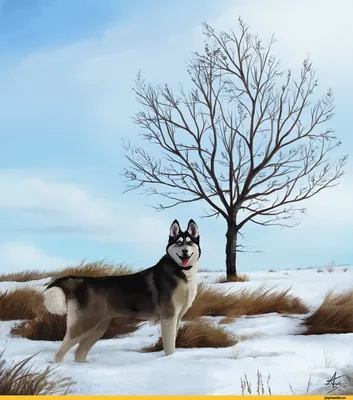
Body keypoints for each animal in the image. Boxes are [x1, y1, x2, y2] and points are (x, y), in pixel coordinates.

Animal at [42, 219, 199, 362]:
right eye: (178, 243)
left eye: (189, 243)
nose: (185, 251)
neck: (180, 271)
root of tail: (80, 281)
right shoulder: (168, 318)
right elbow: (169, 348)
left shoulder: (177, 318)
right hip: (86, 323)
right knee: (59, 353)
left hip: (99, 326)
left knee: (79, 352)